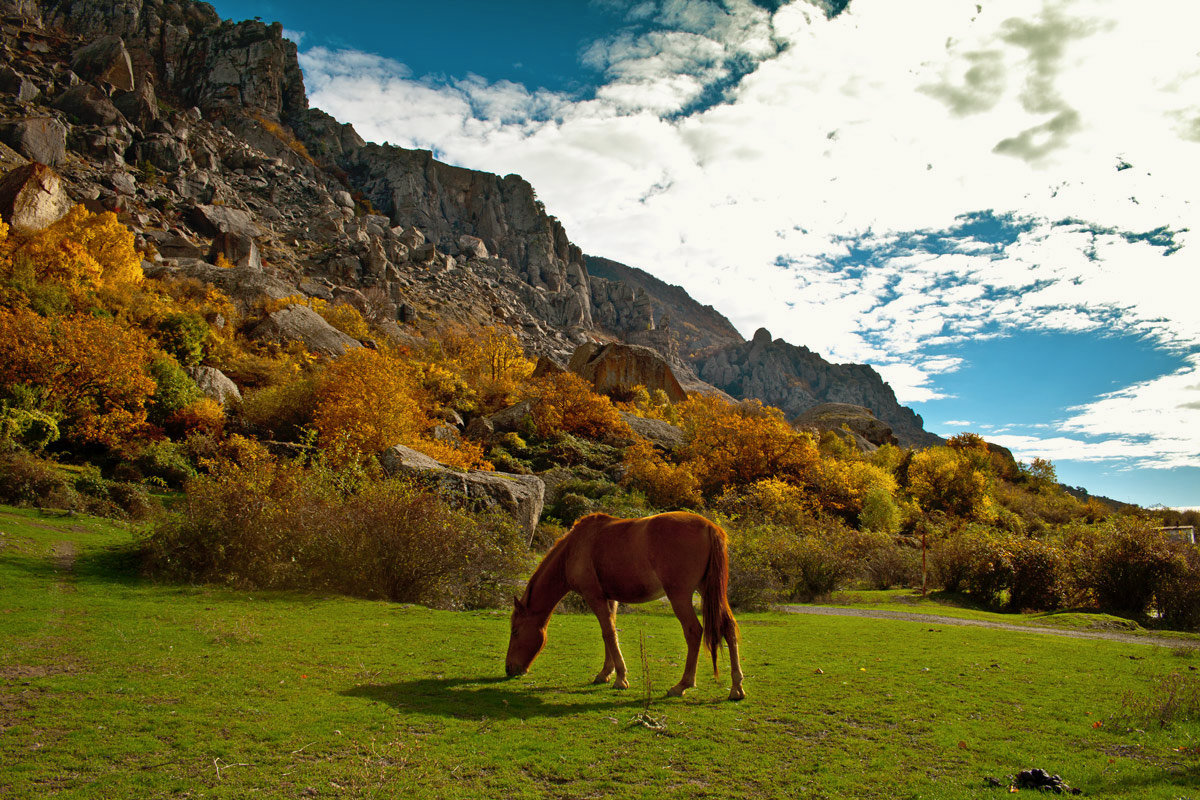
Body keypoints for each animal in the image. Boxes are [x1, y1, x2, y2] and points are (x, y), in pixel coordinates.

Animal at [501, 513, 744, 700]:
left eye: (515, 631)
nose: (509, 669)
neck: (573, 549)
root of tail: (711, 527)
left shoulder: (594, 597)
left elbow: (608, 633)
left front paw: (620, 678)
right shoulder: (610, 598)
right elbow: (610, 633)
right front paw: (606, 673)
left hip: (680, 596)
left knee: (694, 632)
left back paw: (682, 685)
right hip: (709, 591)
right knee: (729, 627)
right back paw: (736, 688)